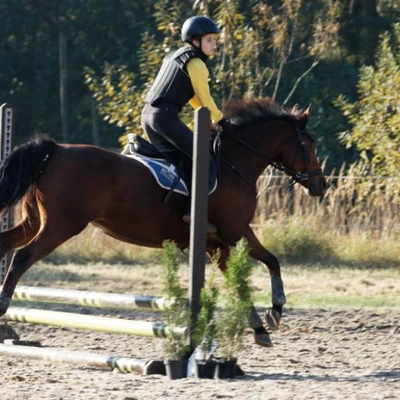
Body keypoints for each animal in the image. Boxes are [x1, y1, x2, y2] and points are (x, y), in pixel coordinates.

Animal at [0, 97, 326, 346]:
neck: (234, 163)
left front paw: (259, 329)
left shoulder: (216, 244)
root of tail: (54, 151)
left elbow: (239, 284)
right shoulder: (237, 232)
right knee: (23, 255)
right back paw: (3, 305)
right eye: (309, 145)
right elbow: (272, 260)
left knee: (8, 243)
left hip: (33, 221)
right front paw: (276, 310)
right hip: (61, 226)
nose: (320, 185)